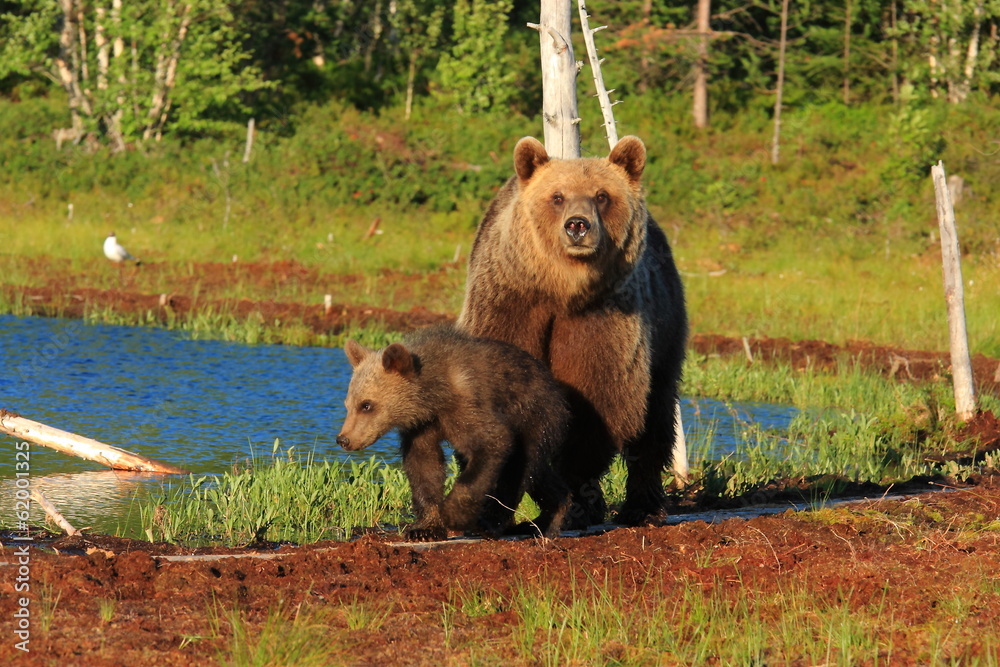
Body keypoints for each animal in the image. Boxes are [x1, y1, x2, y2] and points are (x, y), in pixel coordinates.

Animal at [335, 325, 572, 542]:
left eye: (366, 405)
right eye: (348, 404)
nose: (343, 439)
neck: (433, 396)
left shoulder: (466, 407)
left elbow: (492, 442)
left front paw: (453, 514)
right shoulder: (421, 427)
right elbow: (424, 465)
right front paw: (425, 528)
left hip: (533, 415)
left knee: (520, 468)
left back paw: (493, 523)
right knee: (537, 474)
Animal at [457, 135, 687, 529]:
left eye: (602, 195)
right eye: (558, 196)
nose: (577, 225)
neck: (561, 288)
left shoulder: (600, 320)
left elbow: (595, 402)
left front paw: (577, 500)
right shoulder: (510, 303)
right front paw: (495, 505)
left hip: (665, 327)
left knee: (655, 417)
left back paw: (642, 506)